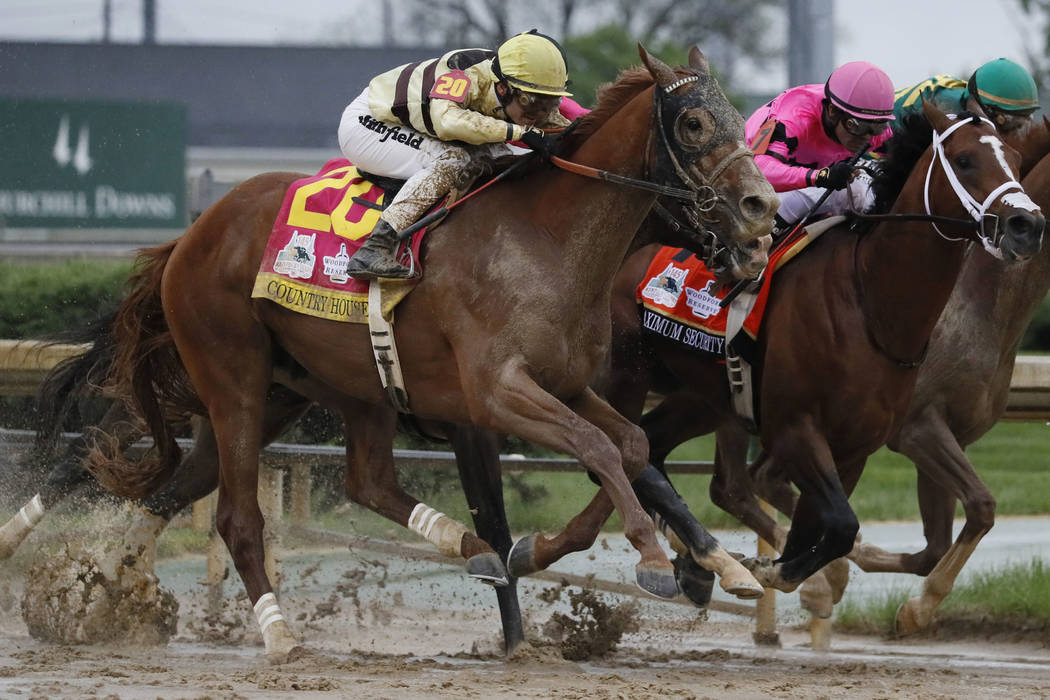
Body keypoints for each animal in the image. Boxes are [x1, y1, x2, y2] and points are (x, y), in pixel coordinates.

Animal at [76, 45, 781, 663]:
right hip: (234, 380)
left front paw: (550, 552)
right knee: (237, 515)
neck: (546, 242)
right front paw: (654, 563)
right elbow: (597, 451)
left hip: (325, 388)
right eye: (693, 122)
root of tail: (192, 233)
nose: (763, 210)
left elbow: (628, 446)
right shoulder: (493, 395)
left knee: (344, 481)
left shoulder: (564, 385)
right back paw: (278, 634)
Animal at [497, 101, 1041, 596]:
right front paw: (771, 569)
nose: (1027, 226)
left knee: (650, 444)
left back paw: (695, 559)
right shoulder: (796, 428)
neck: (870, 305)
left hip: (704, 397)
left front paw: (775, 568)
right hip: (624, 374)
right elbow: (840, 524)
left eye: (1015, 158)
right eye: (966, 160)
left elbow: (827, 528)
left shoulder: (856, 445)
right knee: (621, 455)